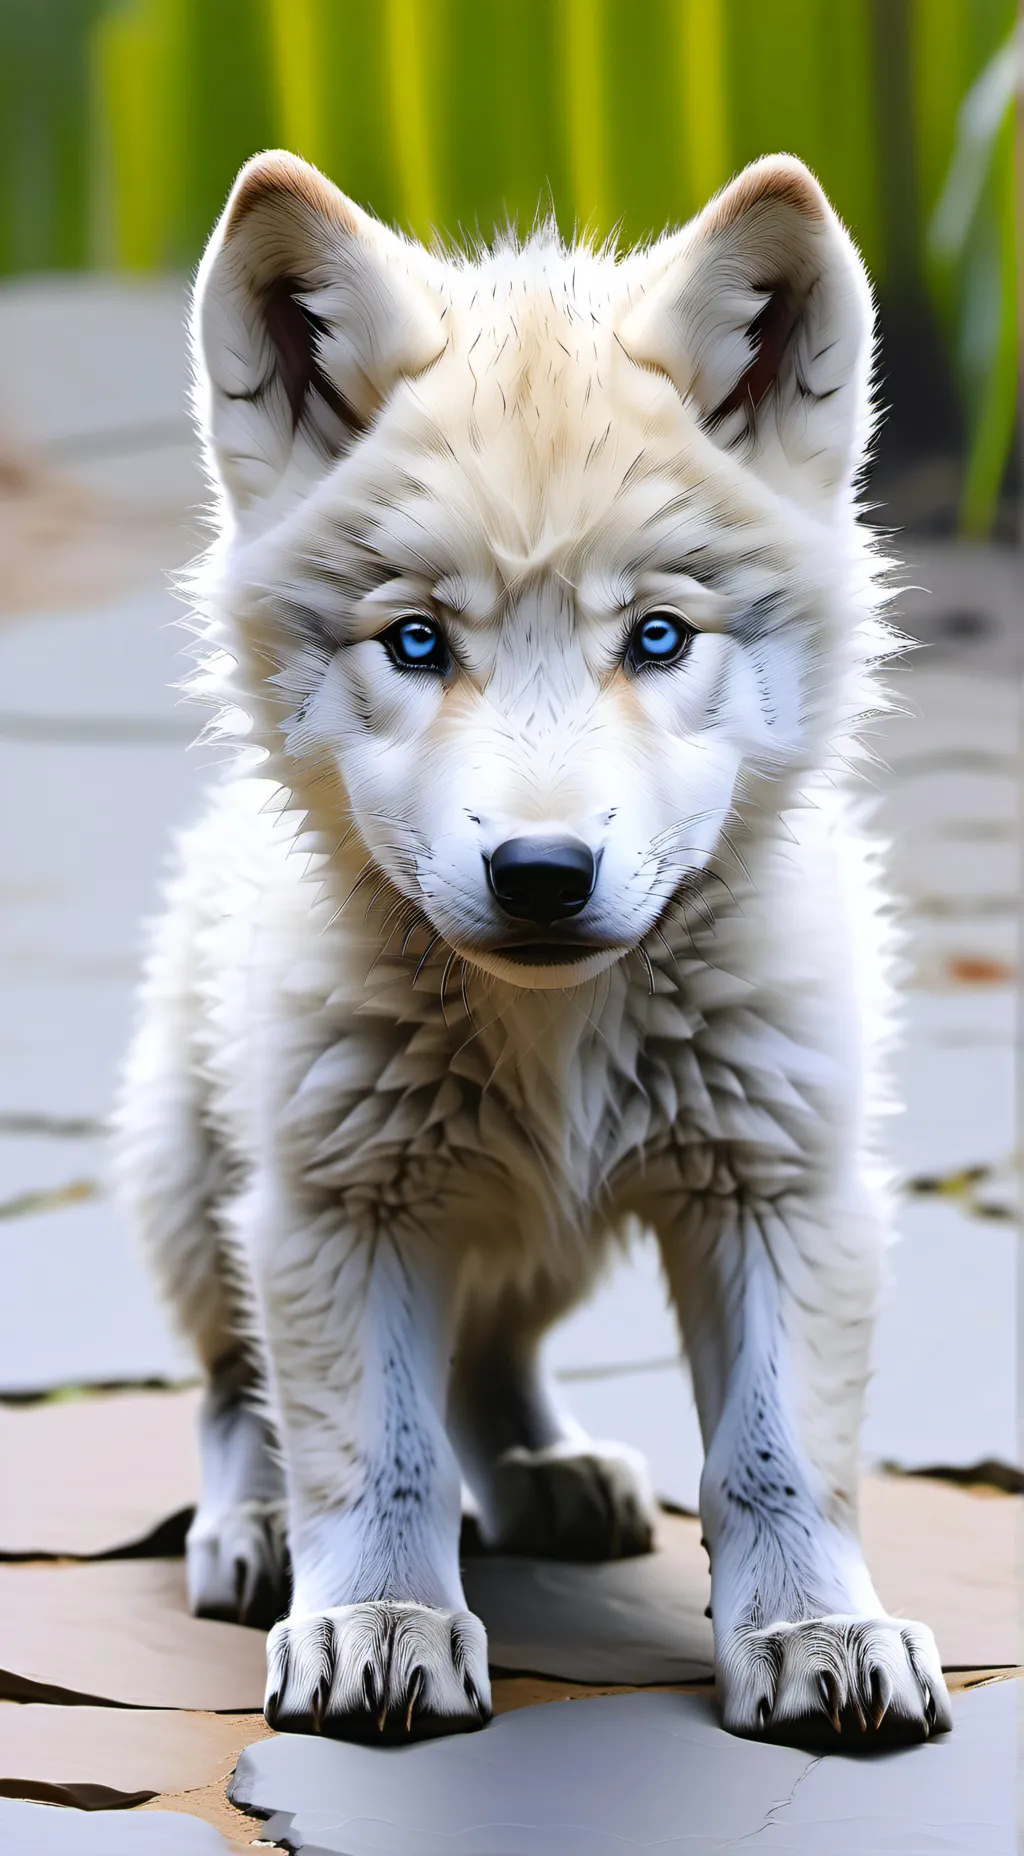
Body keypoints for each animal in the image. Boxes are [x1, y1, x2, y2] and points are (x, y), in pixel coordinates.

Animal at [114, 149, 951, 1750]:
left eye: (661, 639)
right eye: (418, 644)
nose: (545, 876)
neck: (555, 1033)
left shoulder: (781, 1187)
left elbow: (776, 1455)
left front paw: (814, 1630)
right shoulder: (340, 1202)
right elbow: (374, 1452)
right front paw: (379, 1619)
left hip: (544, 1237)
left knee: (488, 1357)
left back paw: (544, 1475)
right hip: (205, 1188)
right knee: (239, 1391)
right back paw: (257, 1529)